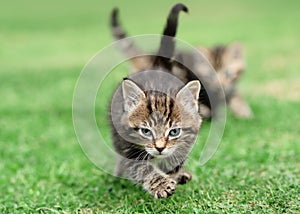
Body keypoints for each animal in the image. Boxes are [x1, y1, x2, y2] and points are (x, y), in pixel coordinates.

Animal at [110, 3, 202, 198]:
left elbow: (175, 158)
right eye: (146, 131)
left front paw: (175, 174)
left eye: (174, 132)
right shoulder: (128, 148)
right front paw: (161, 184)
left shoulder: (186, 142)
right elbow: (141, 168)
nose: (160, 148)